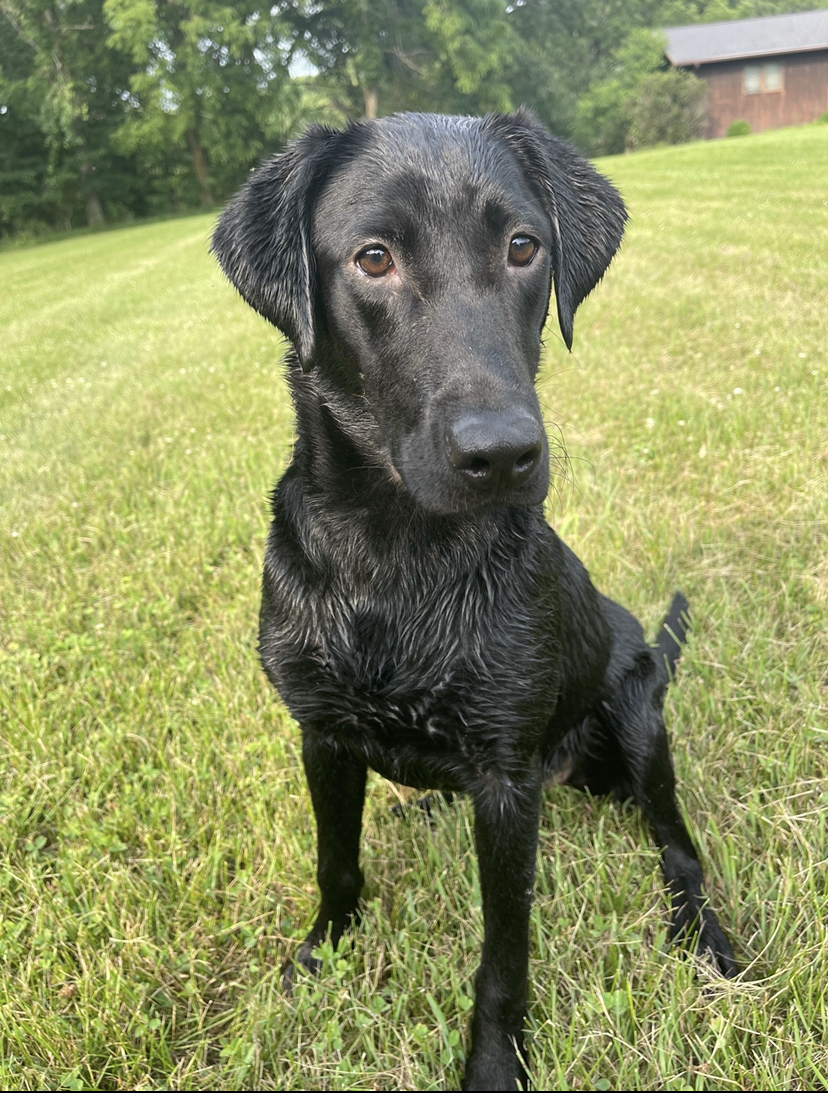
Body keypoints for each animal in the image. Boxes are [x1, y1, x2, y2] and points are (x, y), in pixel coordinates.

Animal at [215, 110, 738, 1093]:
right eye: (373, 257)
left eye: (523, 247)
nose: (502, 454)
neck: (394, 559)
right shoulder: (321, 733)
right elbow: (336, 864)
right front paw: (321, 953)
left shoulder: (502, 779)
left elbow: (503, 953)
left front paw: (496, 1063)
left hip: (638, 713)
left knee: (677, 843)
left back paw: (704, 933)